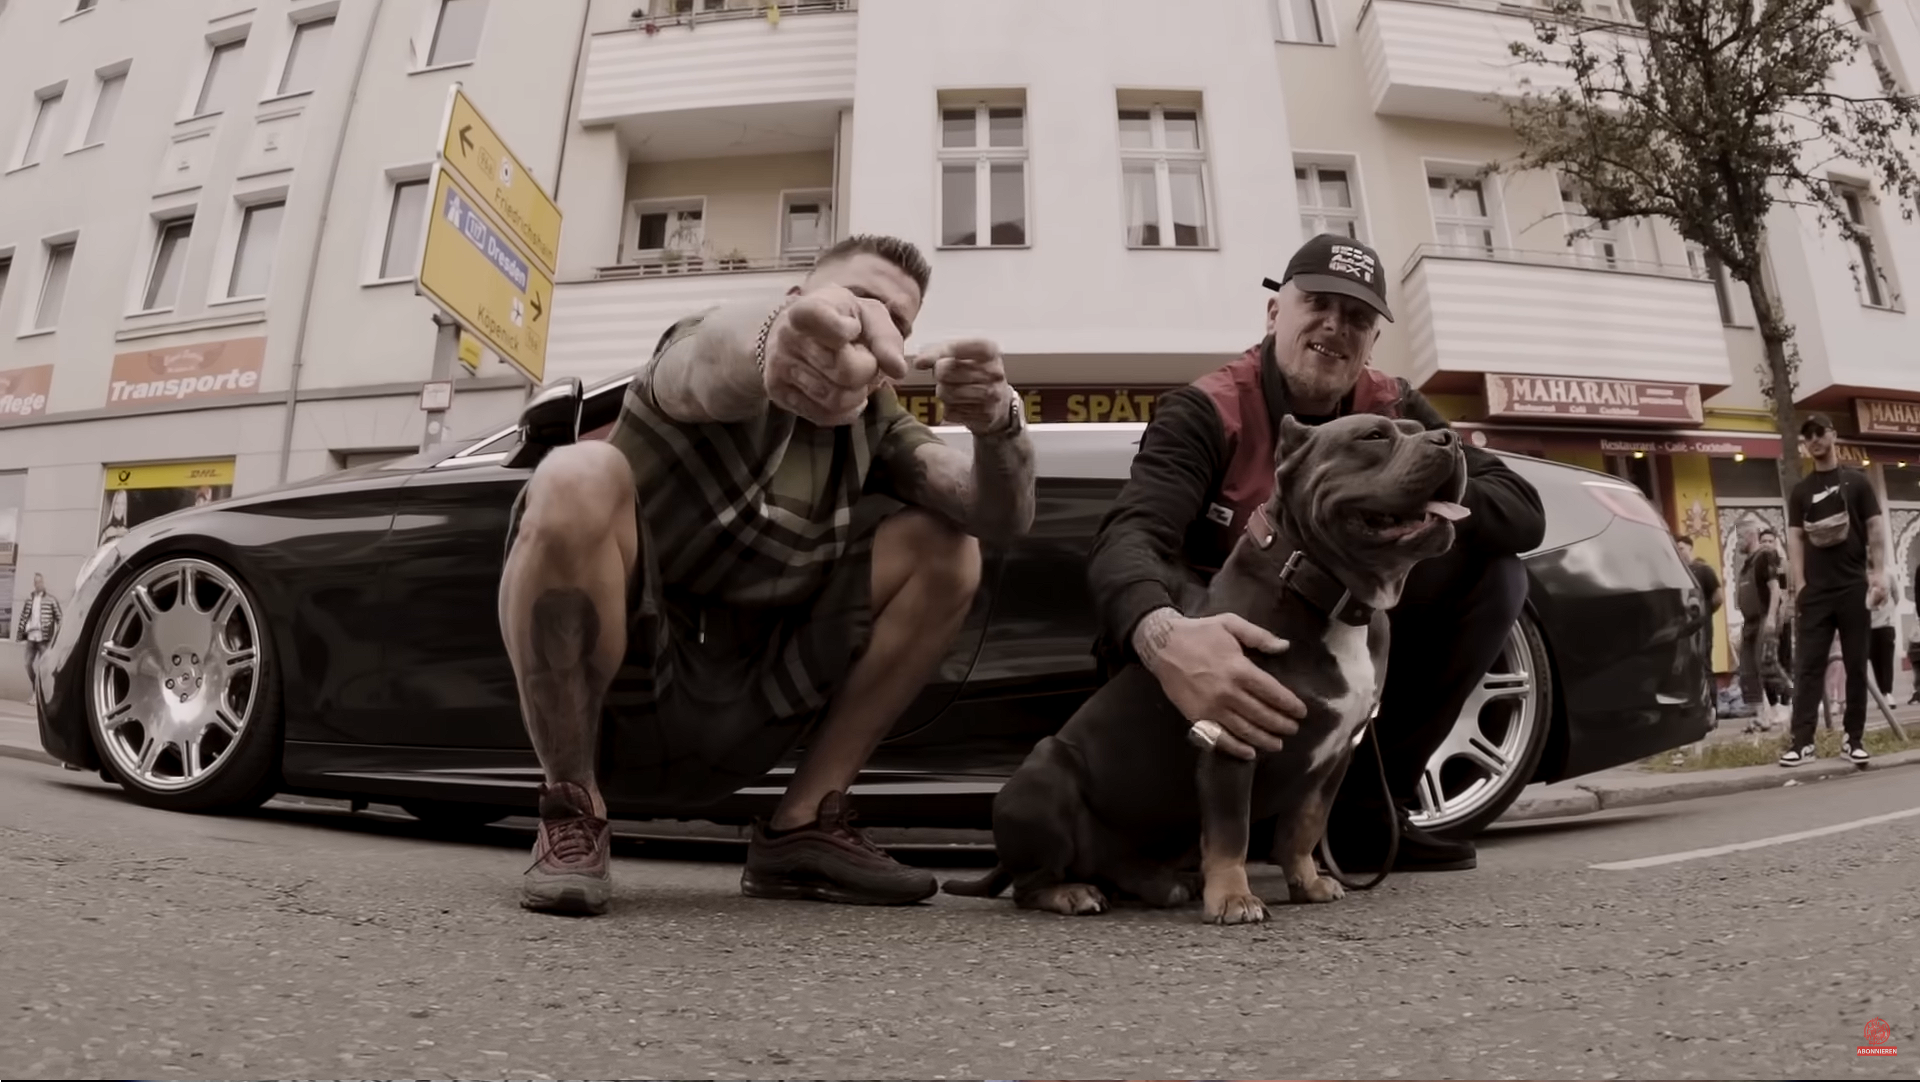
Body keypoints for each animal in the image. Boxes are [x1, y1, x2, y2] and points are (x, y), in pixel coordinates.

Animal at [943, 413, 1468, 923]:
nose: (1452, 438)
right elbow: (1231, 832)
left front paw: (1307, 882)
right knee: (1028, 885)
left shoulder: (1335, 757)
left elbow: (1304, 825)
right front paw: (1234, 899)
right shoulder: (1231, 738)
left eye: (1420, 428)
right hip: (1044, 773)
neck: (1326, 593)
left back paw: (1165, 884)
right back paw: (1071, 893)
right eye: (1374, 435)